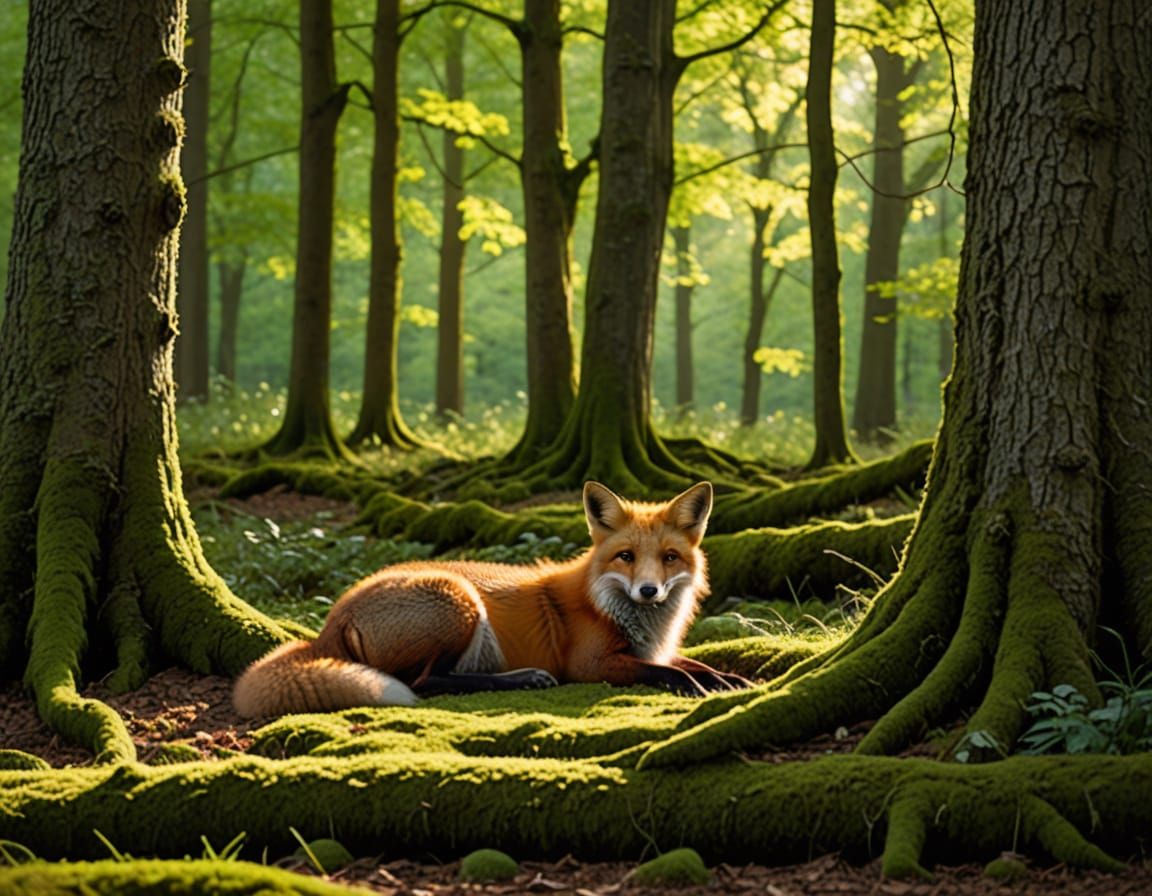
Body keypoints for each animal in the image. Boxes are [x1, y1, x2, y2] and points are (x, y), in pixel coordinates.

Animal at [232, 480, 750, 717]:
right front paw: (700, 688)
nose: (648, 590)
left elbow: (695, 664)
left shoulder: (652, 649)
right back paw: (524, 679)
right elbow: (667, 673)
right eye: (625, 557)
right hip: (457, 603)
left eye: (668, 558)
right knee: (427, 682)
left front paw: (732, 680)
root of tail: (333, 618)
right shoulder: (592, 664)